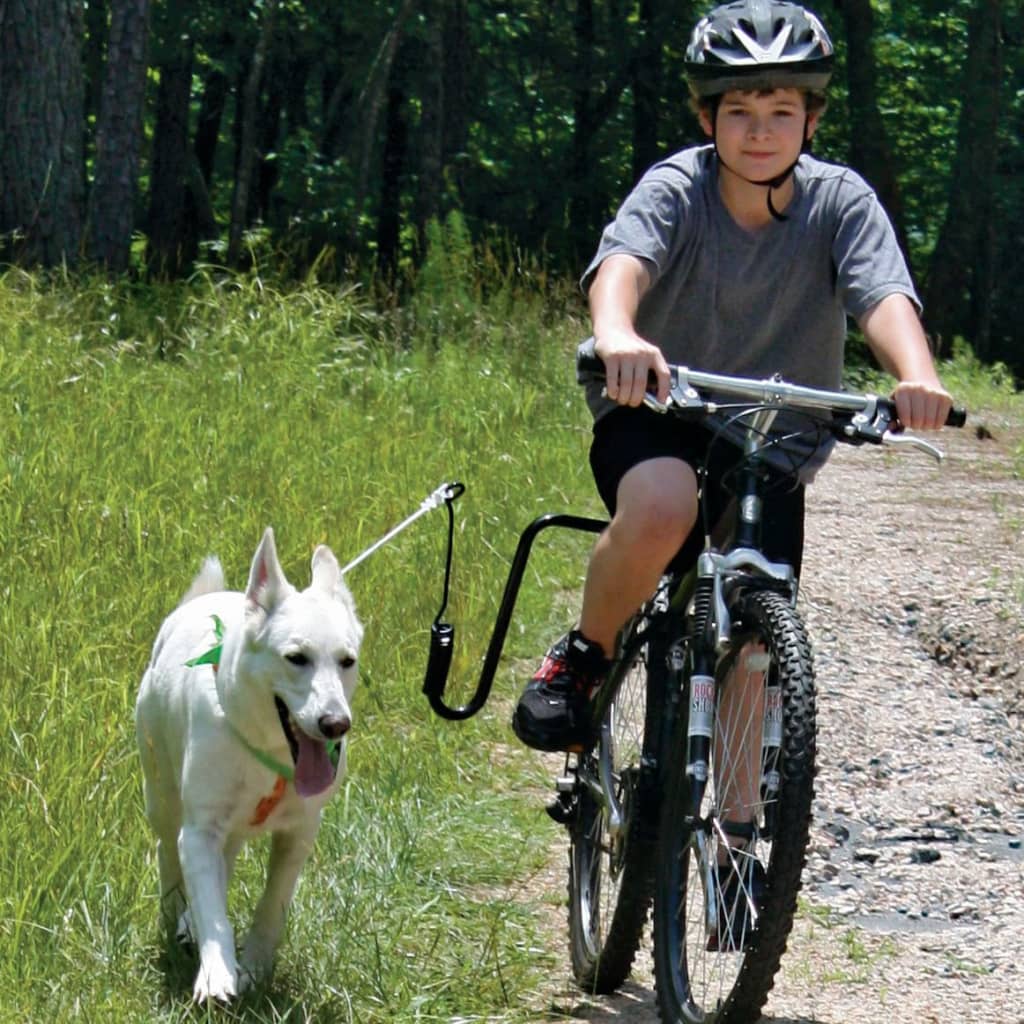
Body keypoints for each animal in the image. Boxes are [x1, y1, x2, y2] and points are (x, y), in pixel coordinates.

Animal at [134, 528, 362, 999]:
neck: (270, 752)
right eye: (296, 658)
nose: (336, 724)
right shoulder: (198, 830)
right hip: (161, 795)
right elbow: (212, 908)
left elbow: (273, 903)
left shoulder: (300, 832)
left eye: (347, 661)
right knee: (170, 855)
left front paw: (254, 967)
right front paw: (217, 974)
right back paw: (176, 919)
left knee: (225, 860)